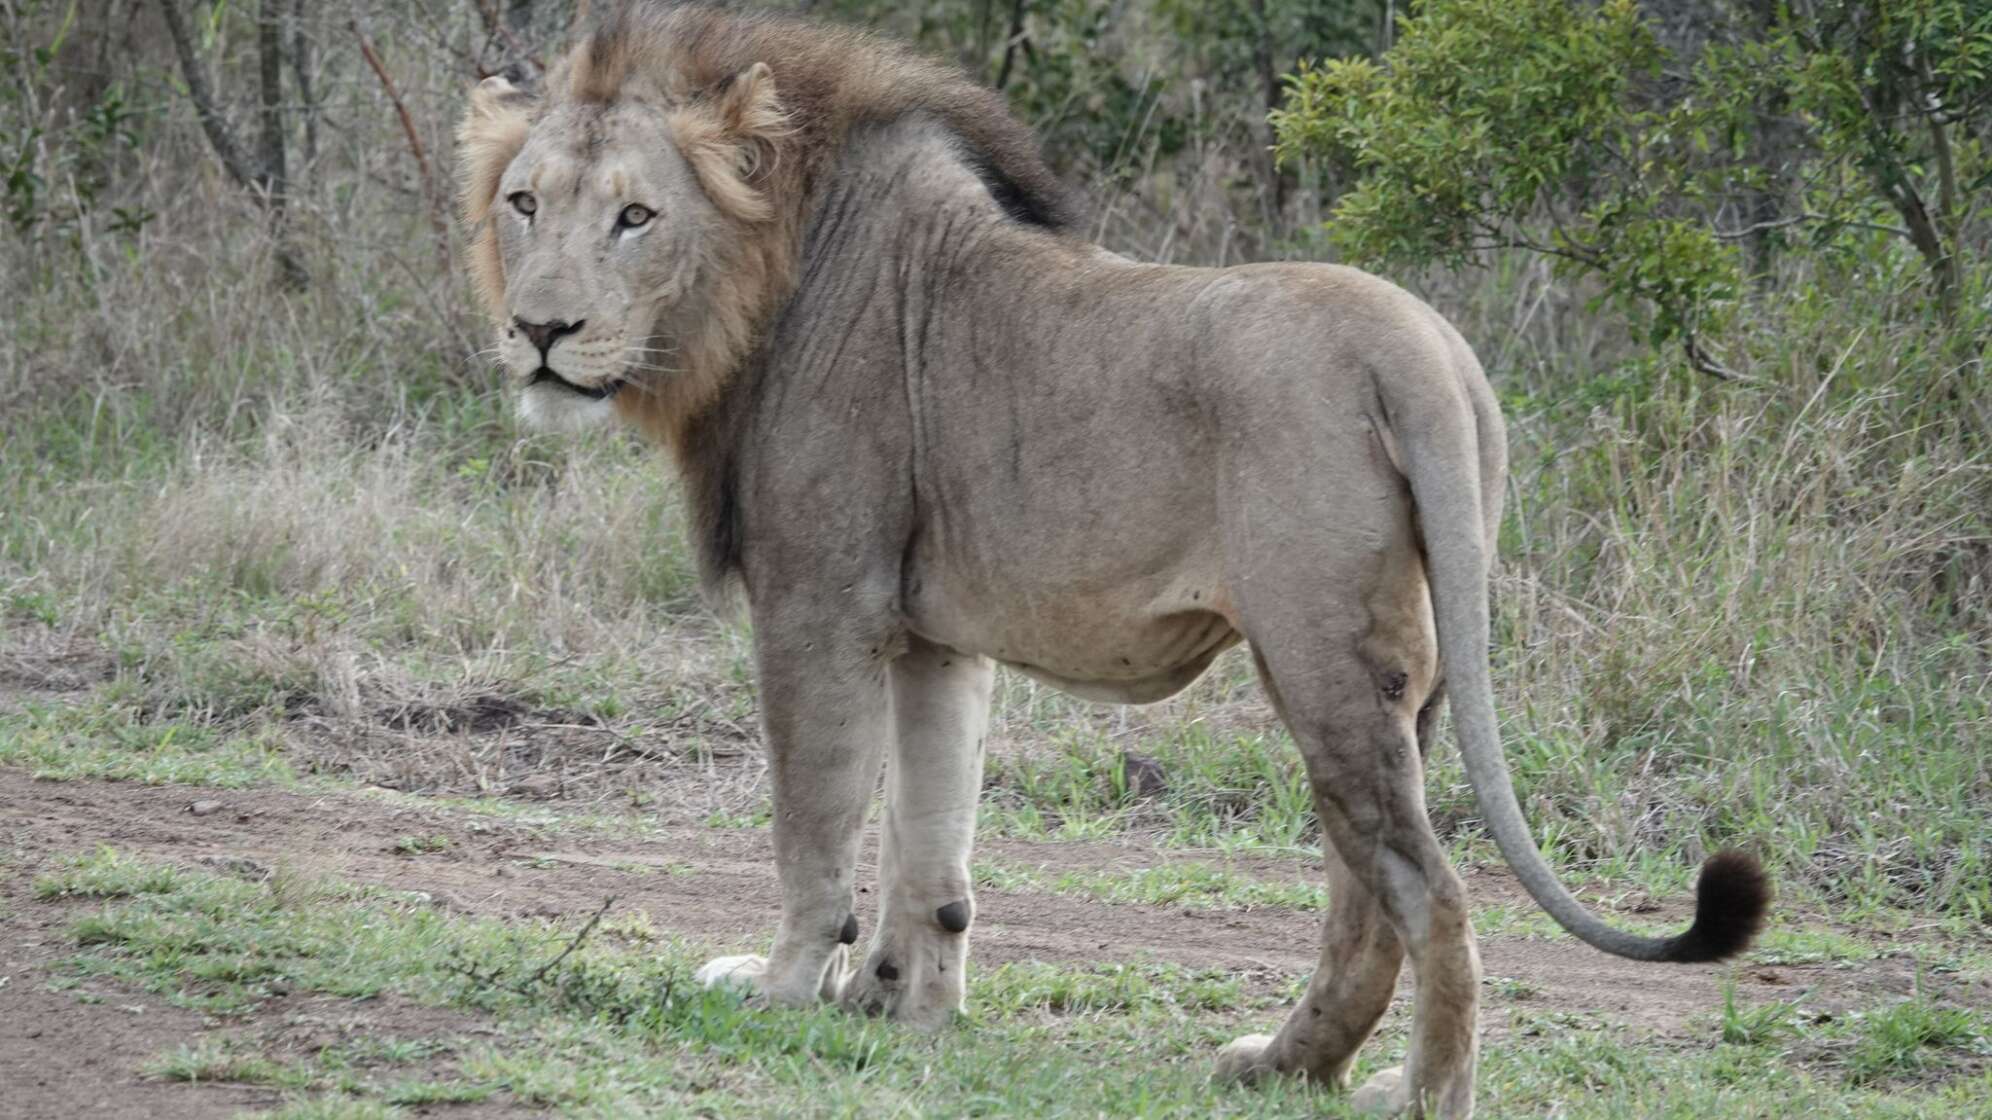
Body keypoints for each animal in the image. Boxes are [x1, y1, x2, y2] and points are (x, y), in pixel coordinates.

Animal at [454, 5, 1769, 1116]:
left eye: (636, 217)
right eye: (524, 203)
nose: (541, 331)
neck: (769, 276)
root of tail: (1425, 353)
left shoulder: (818, 601)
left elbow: (815, 824)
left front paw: (785, 991)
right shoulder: (932, 635)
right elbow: (930, 841)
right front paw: (897, 1006)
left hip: (1320, 653)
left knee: (1427, 891)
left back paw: (1424, 1093)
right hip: (1401, 676)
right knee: (1365, 894)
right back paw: (1284, 1065)